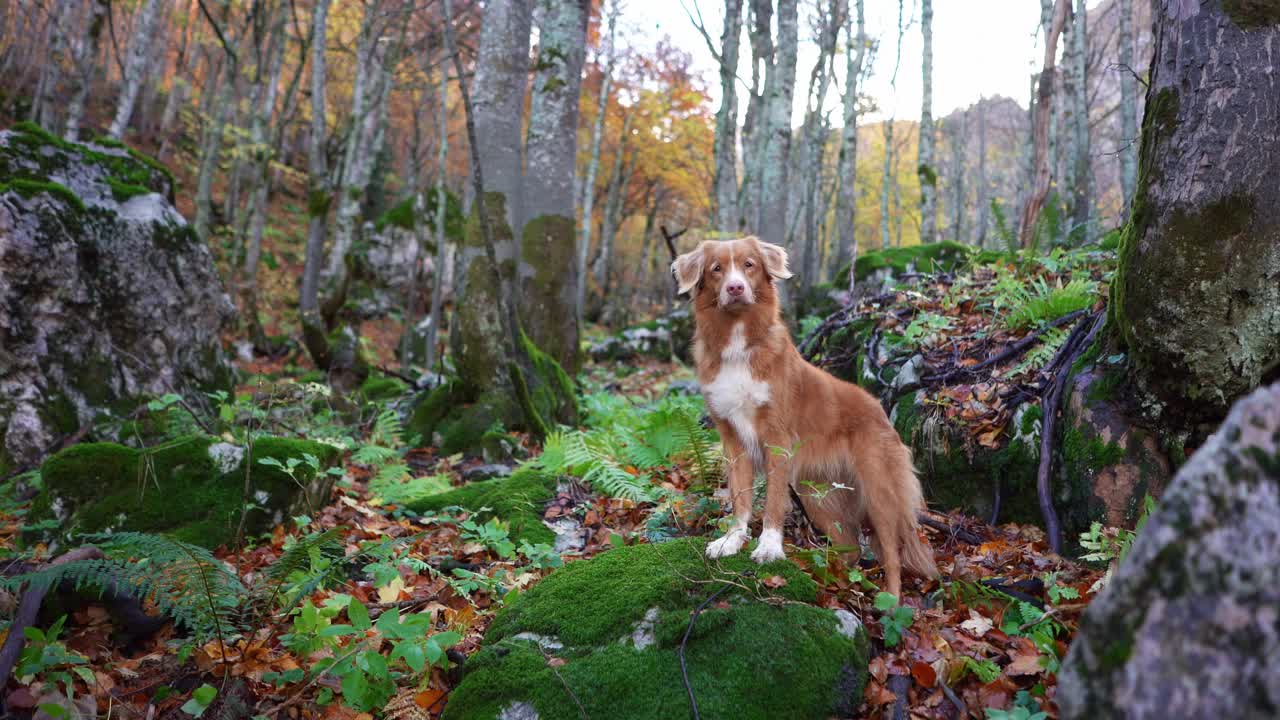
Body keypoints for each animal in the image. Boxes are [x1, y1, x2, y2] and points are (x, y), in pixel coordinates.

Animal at [675, 235, 936, 594]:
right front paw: (732, 540)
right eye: (717, 269)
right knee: (851, 548)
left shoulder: (777, 439)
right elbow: (740, 498)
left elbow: (772, 501)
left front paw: (769, 547)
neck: (739, 342)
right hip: (818, 496)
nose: (735, 288)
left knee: (892, 557)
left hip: (879, 492)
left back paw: (890, 602)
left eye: (749, 265)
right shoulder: (733, 441)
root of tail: (879, 409)